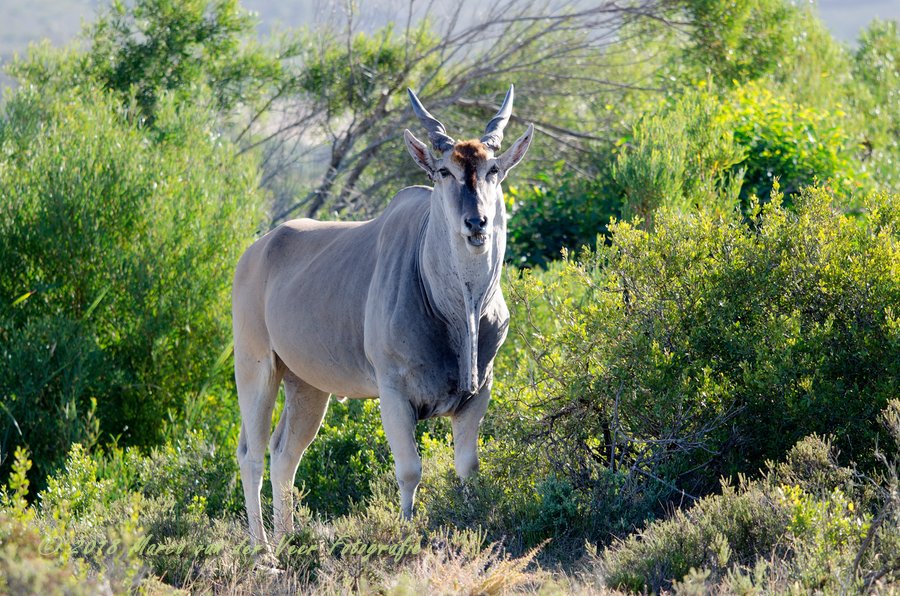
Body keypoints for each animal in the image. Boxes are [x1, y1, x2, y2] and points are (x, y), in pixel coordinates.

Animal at [232, 85, 533, 550]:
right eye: (443, 171)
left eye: (493, 169)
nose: (477, 222)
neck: (458, 309)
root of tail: (254, 252)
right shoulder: (393, 393)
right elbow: (409, 469)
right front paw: (407, 532)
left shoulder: (478, 393)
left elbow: (468, 469)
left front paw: (471, 524)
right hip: (255, 368)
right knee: (252, 454)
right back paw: (263, 548)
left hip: (307, 386)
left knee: (285, 453)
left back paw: (289, 538)